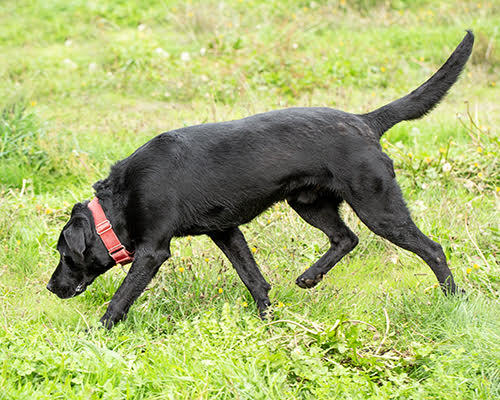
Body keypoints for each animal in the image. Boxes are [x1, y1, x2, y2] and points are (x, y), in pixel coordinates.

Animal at [47, 32, 472, 328]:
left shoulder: (153, 251)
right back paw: (310, 277)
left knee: (432, 249)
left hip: (378, 205)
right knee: (346, 238)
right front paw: (269, 322)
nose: (51, 287)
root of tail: (365, 121)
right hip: (309, 203)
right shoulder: (225, 230)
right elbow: (252, 277)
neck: (118, 202)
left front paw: (95, 333)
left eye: (65, 254)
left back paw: (454, 299)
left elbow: (121, 298)